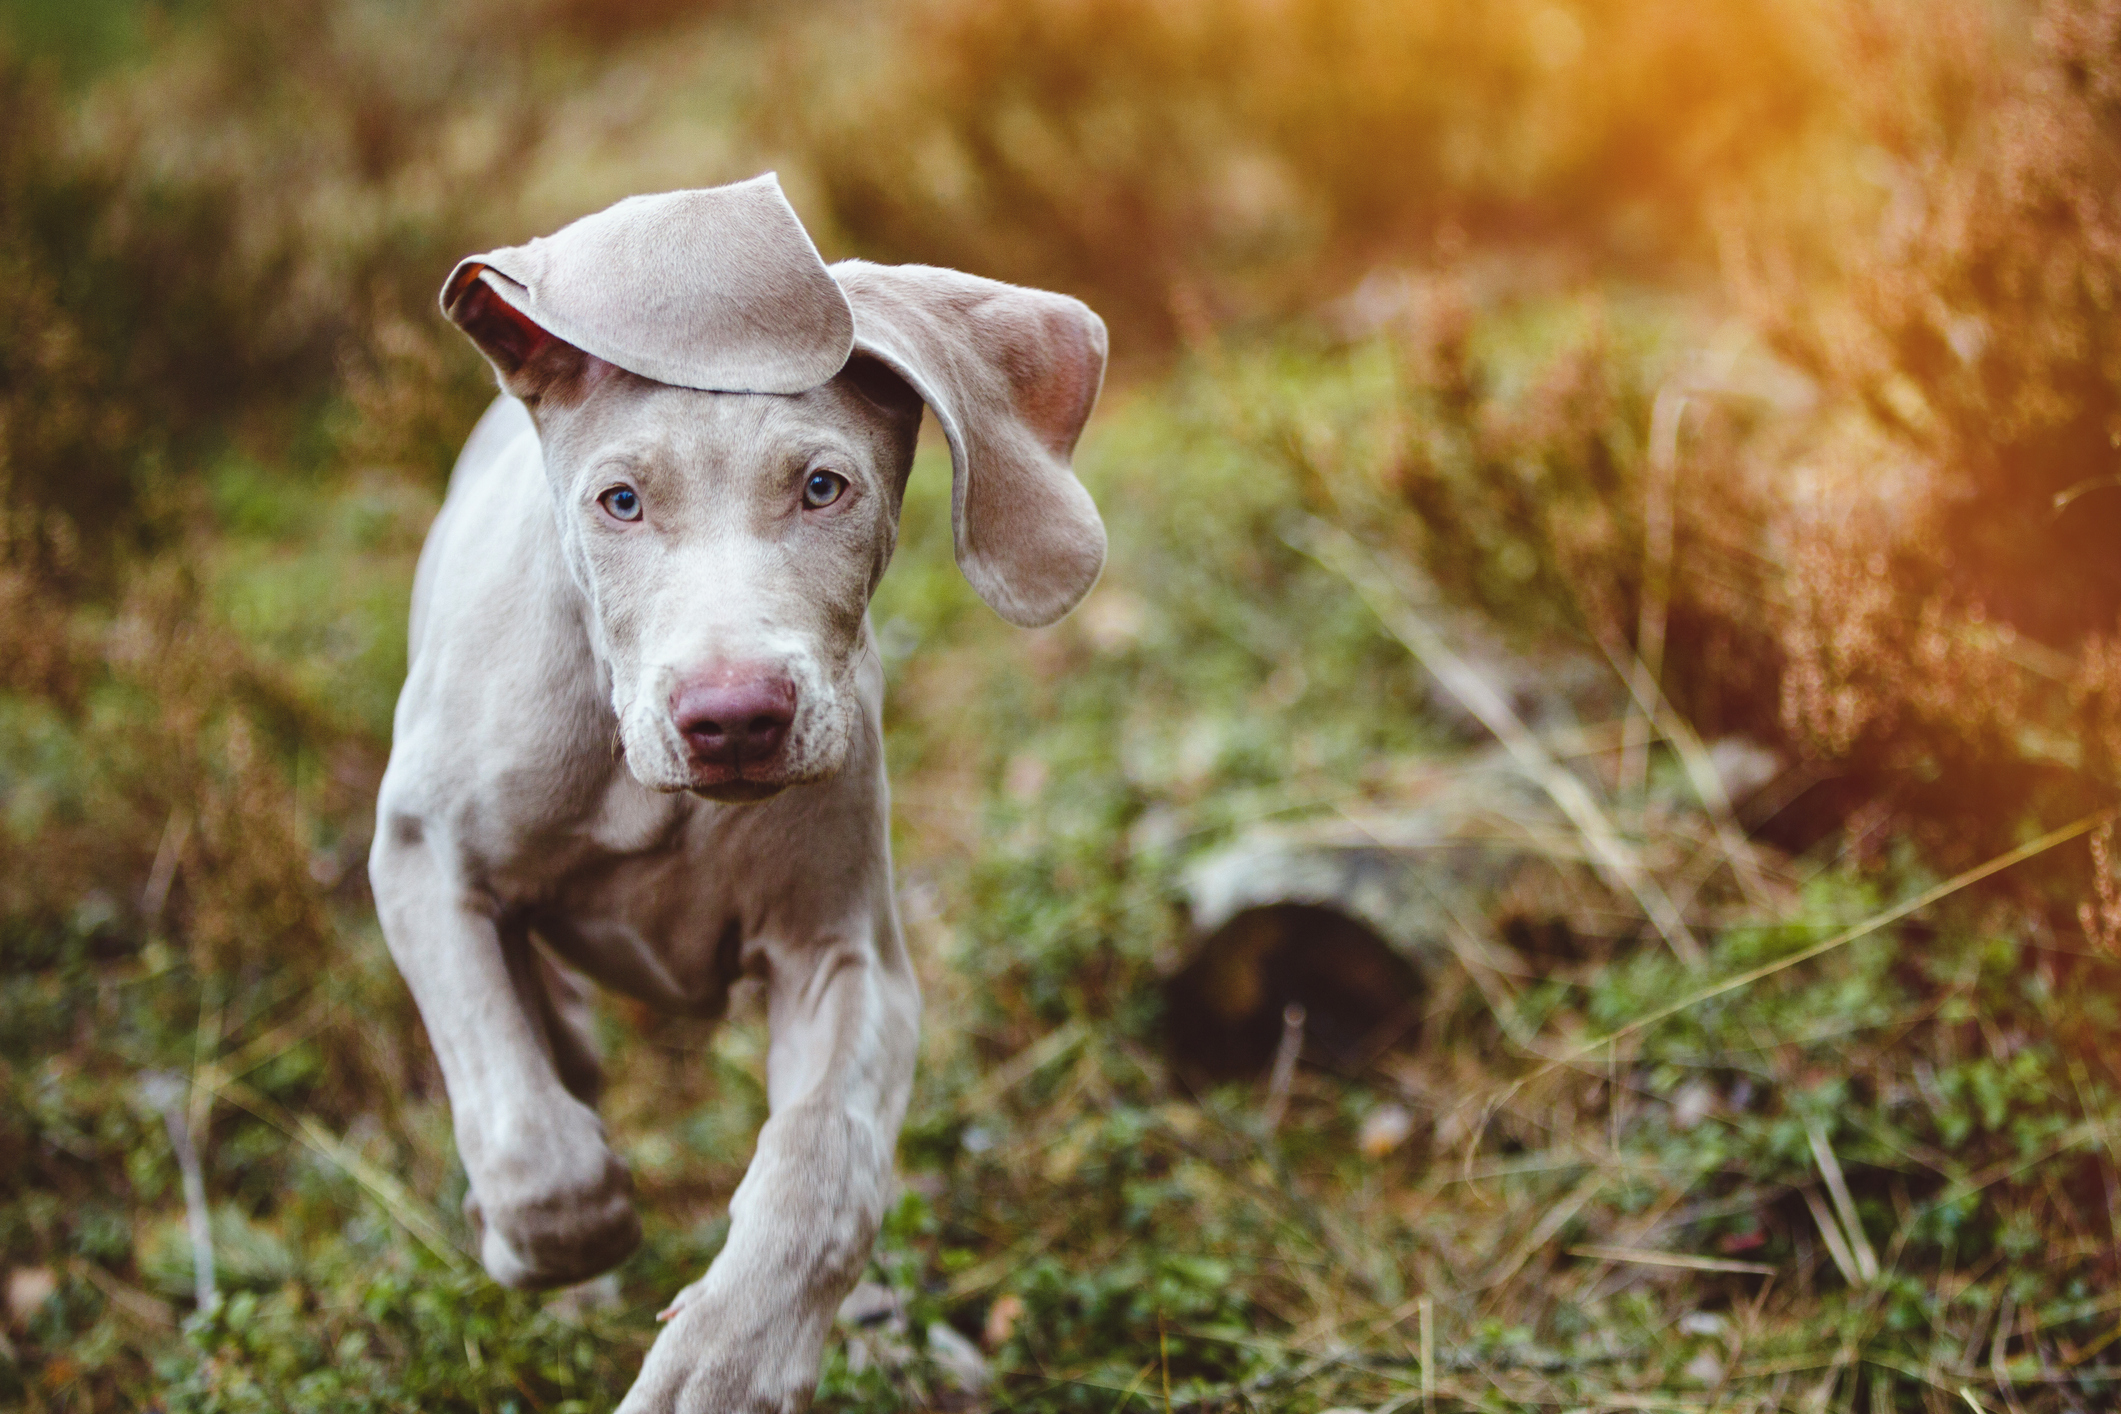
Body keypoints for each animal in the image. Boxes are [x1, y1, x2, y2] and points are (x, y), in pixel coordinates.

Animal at [375, 171, 1111, 1407]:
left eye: (823, 488)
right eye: (620, 502)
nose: (732, 719)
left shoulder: (844, 955)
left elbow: (824, 1170)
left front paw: (723, 1367)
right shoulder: (424, 857)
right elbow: (531, 1135)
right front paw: (546, 1241)